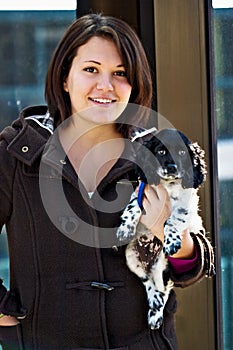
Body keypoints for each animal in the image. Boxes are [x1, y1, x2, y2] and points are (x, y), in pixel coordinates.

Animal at [117, 127, 207, 330]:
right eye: (161, 152)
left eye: (182, 152)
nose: (172, 167)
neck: (169, 185)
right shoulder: (142, 190)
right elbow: (134, 206)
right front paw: (125, 229)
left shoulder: (186, 204)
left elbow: (172, 220)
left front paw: (172, 241)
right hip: (131, 258)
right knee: (148, 282)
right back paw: (154, 304)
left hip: (163, 266)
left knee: (163, 288)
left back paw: (156, 314)